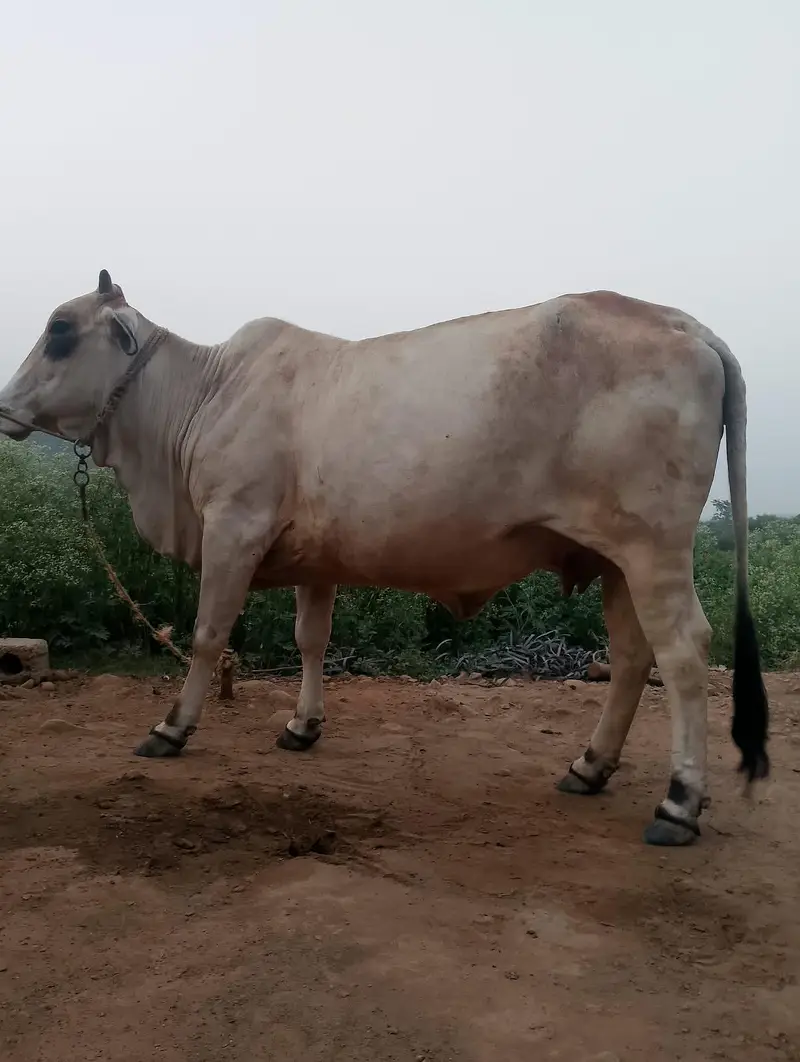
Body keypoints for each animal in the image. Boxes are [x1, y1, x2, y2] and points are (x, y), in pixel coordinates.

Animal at [0, 270, 769, 847]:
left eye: (61, 330)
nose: (4, 407)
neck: (202, 396)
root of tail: (687, 326)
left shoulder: (233, 529)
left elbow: (207, 637)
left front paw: (171, 727)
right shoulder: (315, 561)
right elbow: (311, 640)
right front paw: (302, 727)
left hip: (653, 548)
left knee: (685, 654)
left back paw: (679, 802)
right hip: (613, 559)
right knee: (633, 658)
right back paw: (590, 766)